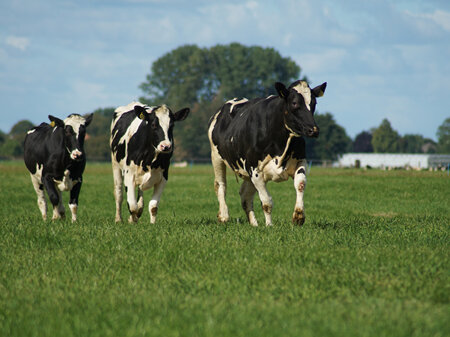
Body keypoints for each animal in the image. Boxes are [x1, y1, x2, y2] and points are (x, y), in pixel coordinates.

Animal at [207, 79, 326, 226]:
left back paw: (254, 224)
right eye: (294, 103)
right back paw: (224, 216)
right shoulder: (255, 170)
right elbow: (267, 202)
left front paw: (298, 216)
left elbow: (301, 184)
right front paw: (269, 225)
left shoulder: (300, 160)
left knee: (245, 195)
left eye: (314, 103)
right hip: (216, 157)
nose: (313, 130)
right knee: (220, 185)